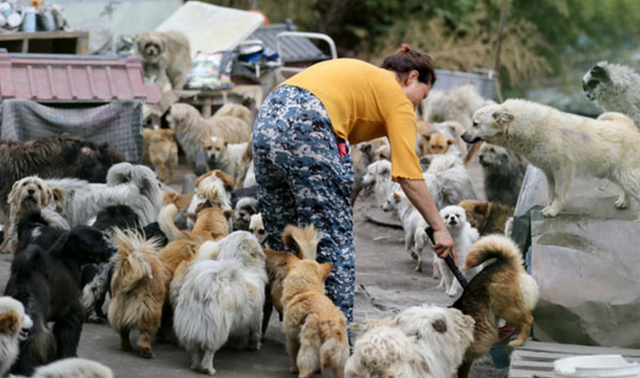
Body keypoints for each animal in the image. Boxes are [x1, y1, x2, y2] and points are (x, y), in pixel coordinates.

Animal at [5, 224, 115, 376]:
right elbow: (68, 340)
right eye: (96, 238)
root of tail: (23, 275)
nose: (114, 249)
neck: (67, 259)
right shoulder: (71, 315)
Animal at [171, 230, 266, 376]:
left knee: (193, 350)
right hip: (216, 330)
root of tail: (206, 287)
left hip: (190, 325)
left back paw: (195, 365)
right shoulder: (258, 314)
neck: (241, 262)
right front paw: (255, 346)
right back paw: (208, 369)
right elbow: (256, 331)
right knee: (209, 351)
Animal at [462, 99, 640, 220]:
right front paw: (549, 205)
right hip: (612, 173)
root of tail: (631, 127)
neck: (531, 128)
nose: (462, 135)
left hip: (625, 175)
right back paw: (624, 202)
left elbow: (559, 192)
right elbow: (551, 191)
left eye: (475, 123)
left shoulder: (563, 168)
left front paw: (553, 211)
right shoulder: (548, 171)